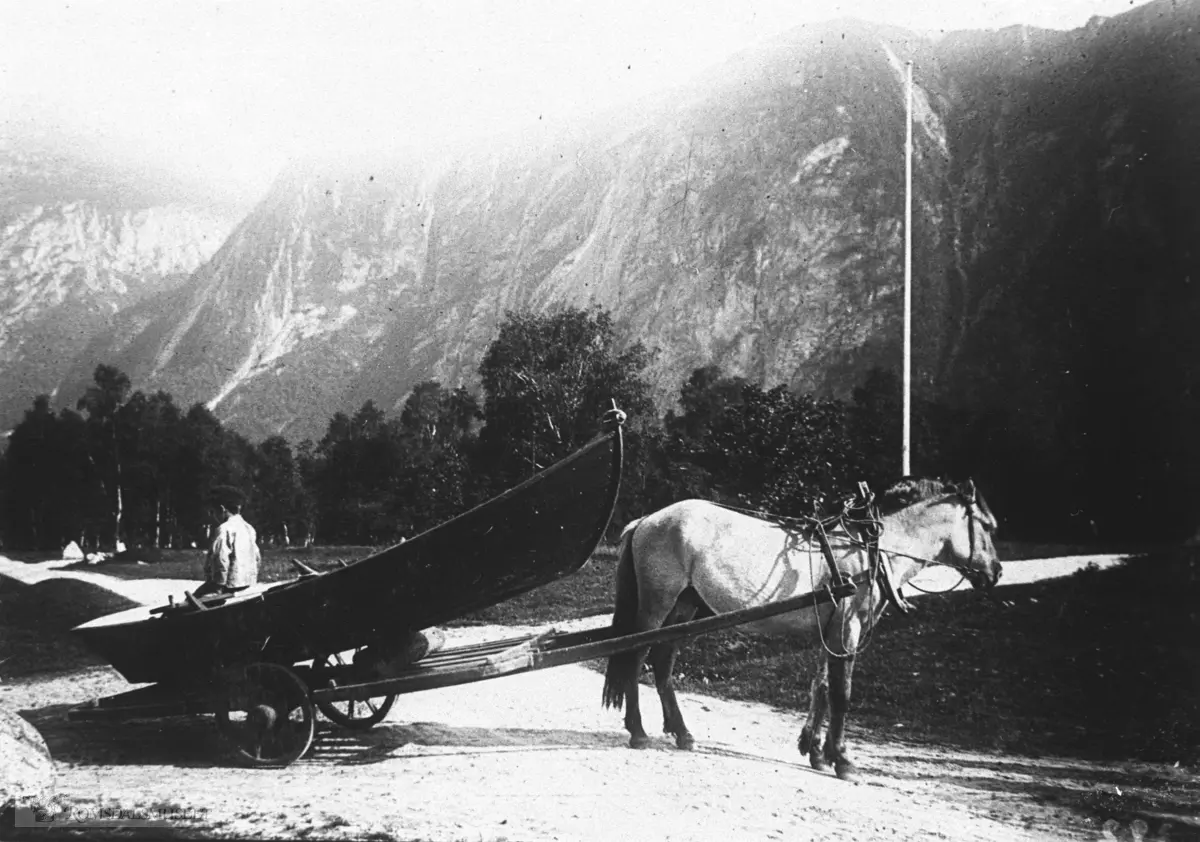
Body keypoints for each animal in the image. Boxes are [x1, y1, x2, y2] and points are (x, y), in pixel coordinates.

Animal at [600, 477, 1003, 782]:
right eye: (986, 525)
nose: (996, 572)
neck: (868, 548)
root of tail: (647, 520)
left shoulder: (833, 631)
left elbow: (821, 686)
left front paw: (816, 751)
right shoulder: (847, 627)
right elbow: (841, 693)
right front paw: (843, 759)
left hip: (684, 608)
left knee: (662, 662)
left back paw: (681, 732)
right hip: (657, 605)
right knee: (634, 656)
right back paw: (638, 731)